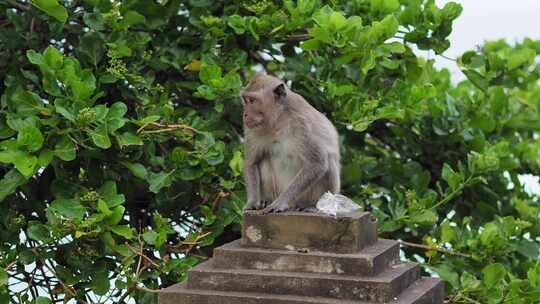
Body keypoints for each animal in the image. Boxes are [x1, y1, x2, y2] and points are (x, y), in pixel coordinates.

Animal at [242, 72, 340, 213]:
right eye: (245, 100)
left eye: (252, 100)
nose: (245, 114)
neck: (279, 120)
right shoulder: (252, 130)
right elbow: (252, 163)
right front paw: (252, 202)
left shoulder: (302, 125)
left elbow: (317, 163)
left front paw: (280, 202)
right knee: (264, 162)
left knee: (329, 161)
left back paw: (310, 206)